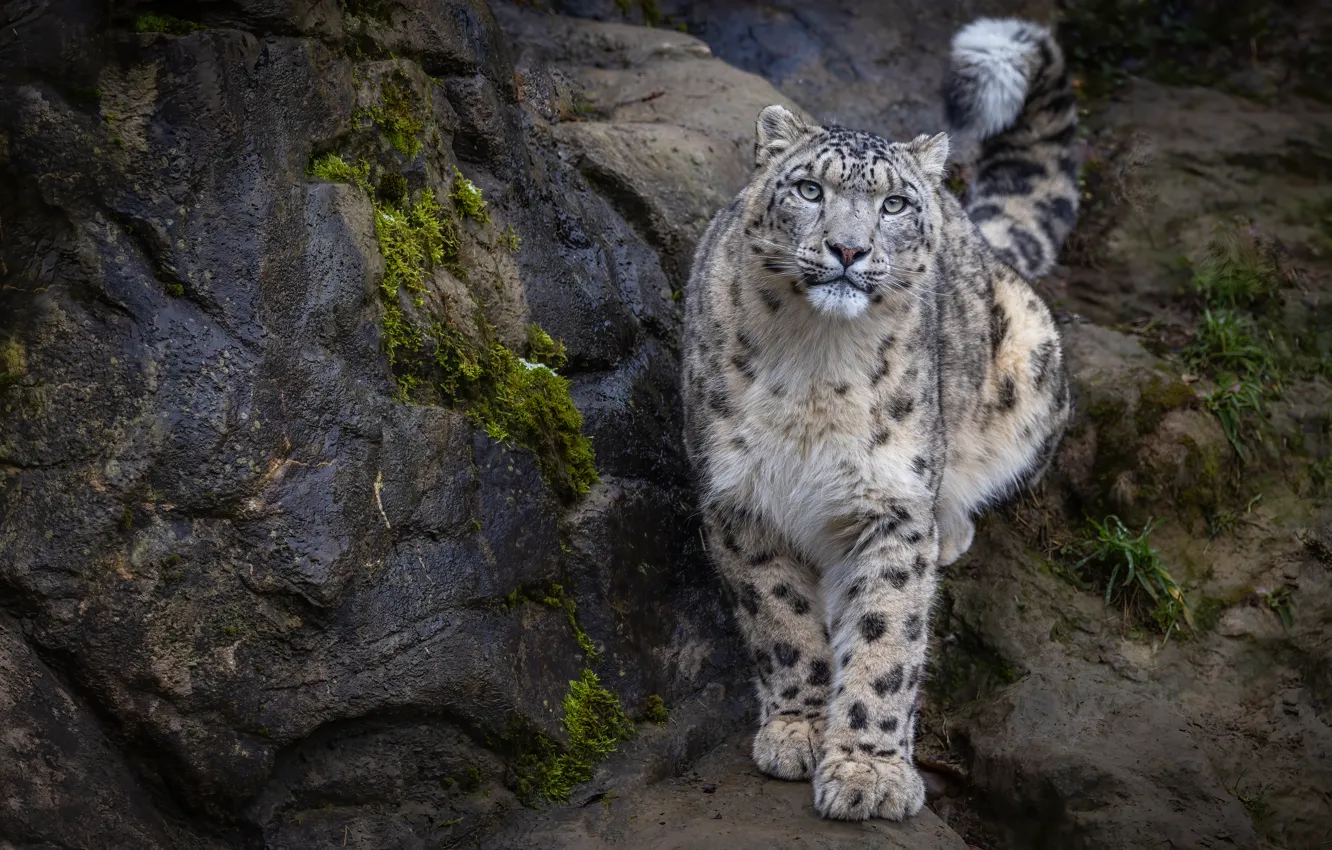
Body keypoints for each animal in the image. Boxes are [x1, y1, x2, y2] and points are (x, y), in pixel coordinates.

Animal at [679, 17, 1078, 821]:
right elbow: (779, 619)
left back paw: (951, 525)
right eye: (809, 189)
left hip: (1030, 355)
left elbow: (887, 637)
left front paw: (869, 772)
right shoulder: (737, 499)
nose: (848, 248)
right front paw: (799, 730)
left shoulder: (889, 503)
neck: (814, 363)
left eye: (894, 204)